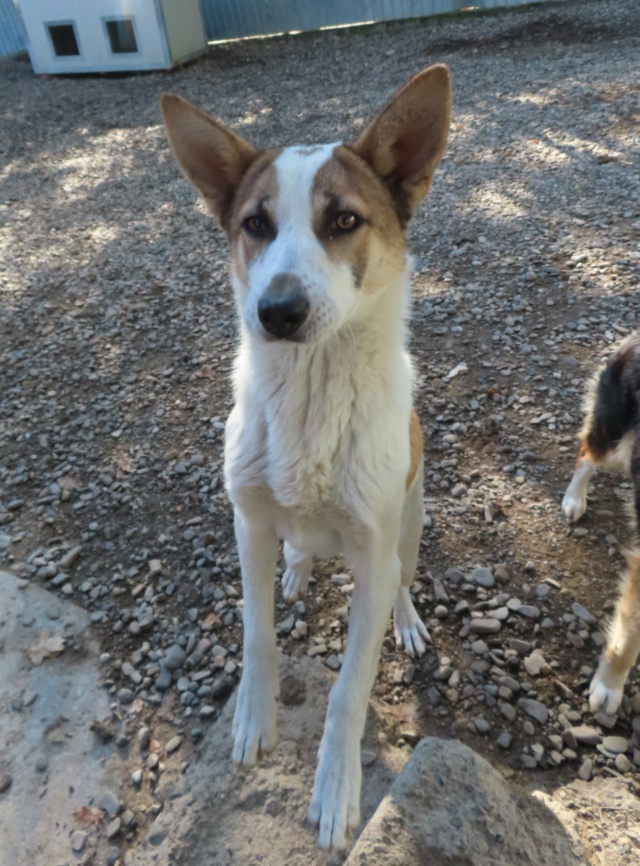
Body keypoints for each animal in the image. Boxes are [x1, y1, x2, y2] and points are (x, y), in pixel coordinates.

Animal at [160, 64, 450, 848]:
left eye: (344, 220)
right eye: (255, 224)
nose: (277, 311)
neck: (311, 396)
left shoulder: (372, 551)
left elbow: (349, 689)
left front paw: (335, 786)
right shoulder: (248, 524)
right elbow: (257, 635)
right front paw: (252, 719)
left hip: (410, 522)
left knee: (403, 575)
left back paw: (407, 618)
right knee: (296, 553)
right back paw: (295, 567)